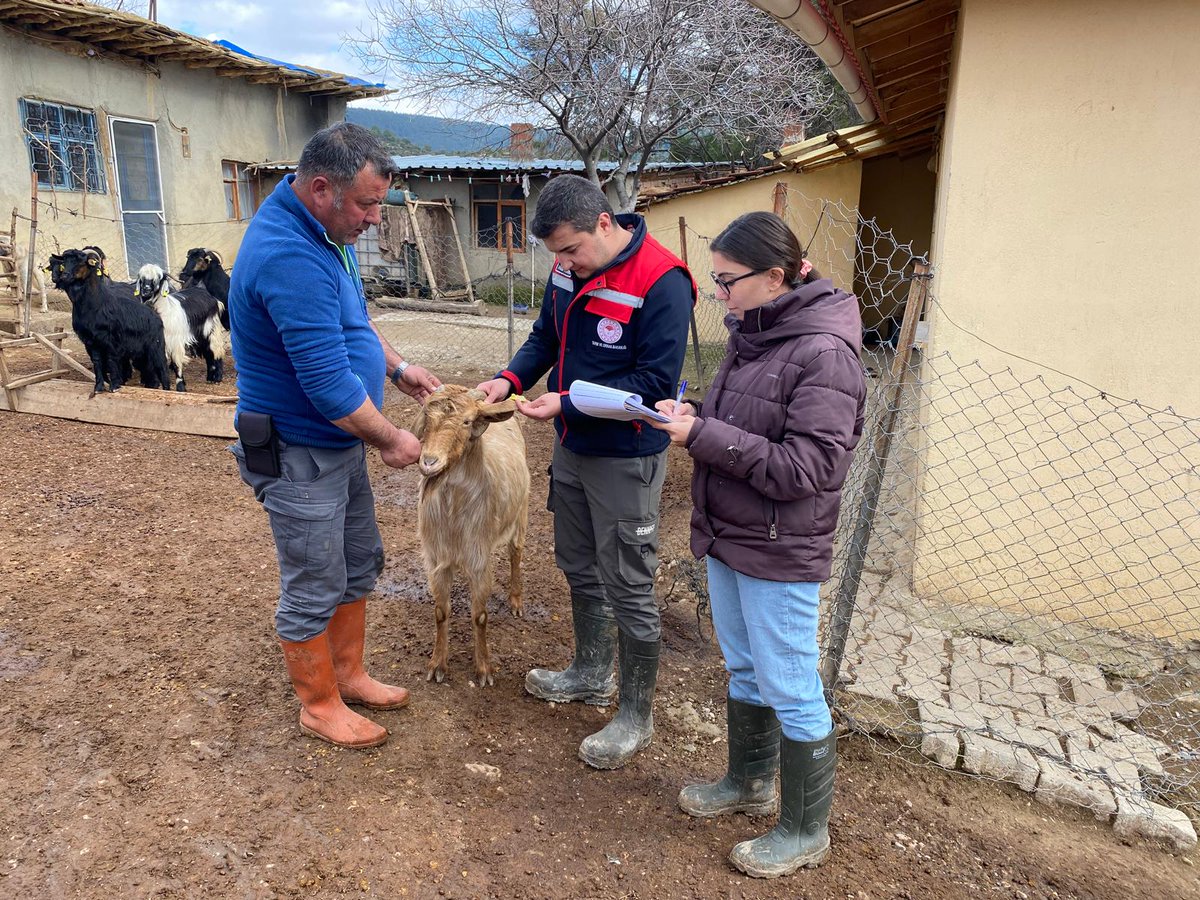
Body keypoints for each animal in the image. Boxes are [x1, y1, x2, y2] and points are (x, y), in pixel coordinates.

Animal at [60, 248, 171, 393]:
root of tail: (155, 314)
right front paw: (98, 387)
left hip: (156, 345)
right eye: (64, 261)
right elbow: (97, 362)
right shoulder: (91, 341)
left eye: (81, 261)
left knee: (162, 367)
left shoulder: (110, 340)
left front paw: (114, 386)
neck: (95, 305)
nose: (64, 276)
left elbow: (111, 360)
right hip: (141, 352)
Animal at [137, 260, 228, 388]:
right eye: (141, 279)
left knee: (215, 351)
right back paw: (210, 377)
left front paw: (180, 387)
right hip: (199, 335)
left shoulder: (174, 341)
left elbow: (176, 363)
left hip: (212, 330)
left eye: (158, 278)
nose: (146, 290)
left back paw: (217, 378)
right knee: (208, 353)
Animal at [410, 384, 528, 686]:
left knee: (516, 552)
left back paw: (516, 600)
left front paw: (484, 669)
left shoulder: (479, 559)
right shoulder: (437, 558)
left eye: (466, 421)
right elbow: (441, 612)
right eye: (427, 418)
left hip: (520, 514)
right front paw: (437, 665)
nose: (429, 462)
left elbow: (480, 616)